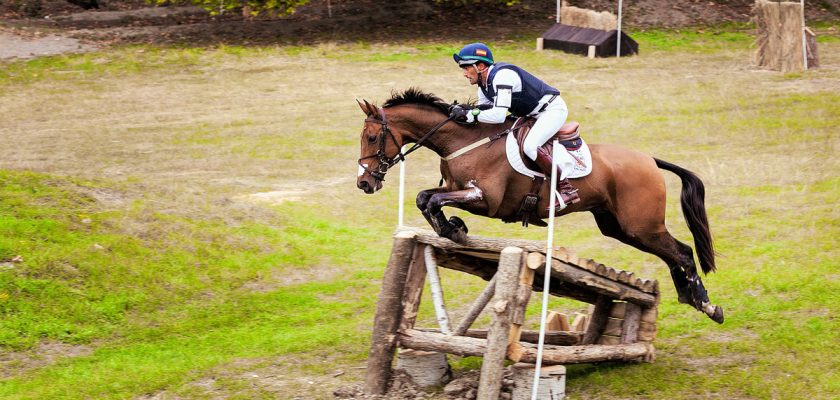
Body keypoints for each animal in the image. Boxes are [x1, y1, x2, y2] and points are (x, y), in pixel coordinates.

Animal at [355, 88, 723, 324]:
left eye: (372, 138)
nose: (364, 184)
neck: (463, 141)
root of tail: (649, 160)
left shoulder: (486, 199)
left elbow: (432, 199)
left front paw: (453, 228)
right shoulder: (455, 189)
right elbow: (424, 198)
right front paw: (452, 228)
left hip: (641, 225)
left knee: (682, 252)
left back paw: (707, 305)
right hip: (620, 227)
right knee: (672, 254)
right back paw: (690, 297)